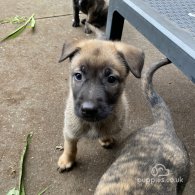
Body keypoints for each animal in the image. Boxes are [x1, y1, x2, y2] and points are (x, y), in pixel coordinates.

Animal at [57, 39, 144, 172]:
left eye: (111, 79)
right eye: (78, 75)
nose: (88, 110)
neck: (93, 124)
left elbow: (106, 131)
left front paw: (105, 139)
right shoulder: (70, 130)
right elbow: (70, 147)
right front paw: (66, 160)